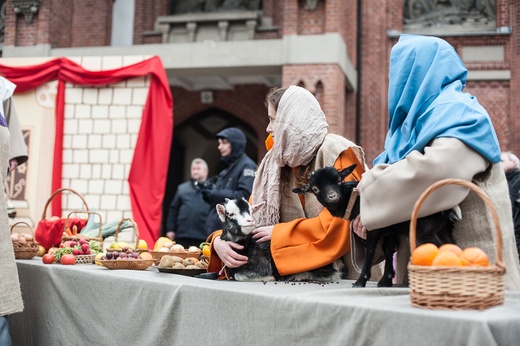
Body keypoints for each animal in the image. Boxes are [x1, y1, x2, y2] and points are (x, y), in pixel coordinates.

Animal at [217, 197, 348, 282]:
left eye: (251, 212)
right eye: (231, 214)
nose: (250, 221)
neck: (247, 246)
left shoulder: (261, 266)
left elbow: (239, 276)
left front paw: (270, 278)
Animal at [292, 164, 460, 286]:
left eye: (339, 180)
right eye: (315, 189)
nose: (332, 196)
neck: (351, 200)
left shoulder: (372, 228)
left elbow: (370, 251)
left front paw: (361, 282)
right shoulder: (389, 230)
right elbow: (387, 249)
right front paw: (385, 280)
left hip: (425, 229)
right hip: (443, 228)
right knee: (452, 245)